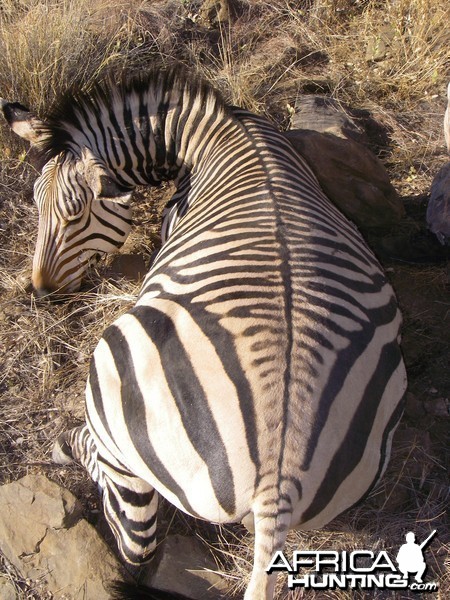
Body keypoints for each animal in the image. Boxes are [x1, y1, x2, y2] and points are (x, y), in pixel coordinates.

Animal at [0, 68, 408, 596]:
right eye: (35, 206)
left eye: (75, 216)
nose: (40, 292)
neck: (222, 128)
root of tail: (278, 483)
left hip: (112, 378)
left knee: (133, 536)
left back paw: (67, 445)